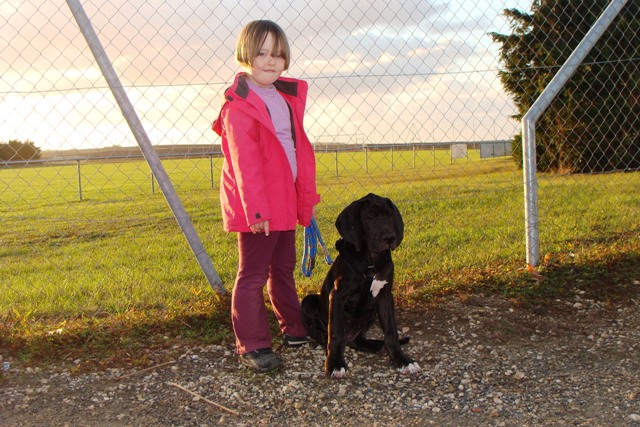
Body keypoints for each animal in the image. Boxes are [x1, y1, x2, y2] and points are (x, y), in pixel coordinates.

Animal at [301, 193, 420, 378]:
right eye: (369, 217)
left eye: (389, 215)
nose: (390, 238)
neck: (371, 261)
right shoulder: (337, 295)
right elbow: (335, 333)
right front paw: (334, 363)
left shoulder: (385, 296)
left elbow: (391, 332)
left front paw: (402, 360)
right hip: (307, 302)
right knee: (323, 335)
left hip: (372, 313)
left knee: (357, 341)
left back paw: (376, 345)